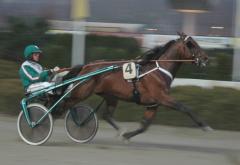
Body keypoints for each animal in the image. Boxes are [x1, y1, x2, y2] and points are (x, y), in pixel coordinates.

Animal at [63, 32, 210, 141]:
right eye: (191, 44)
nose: (206, 58)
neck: (159, 71)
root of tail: (86, 66)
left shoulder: (153, 104)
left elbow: (144, 125)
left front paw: (127, 136)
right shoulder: (162, 97)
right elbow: (184, 108)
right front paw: (204, 126)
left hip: (111, 96)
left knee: (106, 115)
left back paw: (118, 130)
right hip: (82, 91)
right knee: (66, 103)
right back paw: (74, 121)